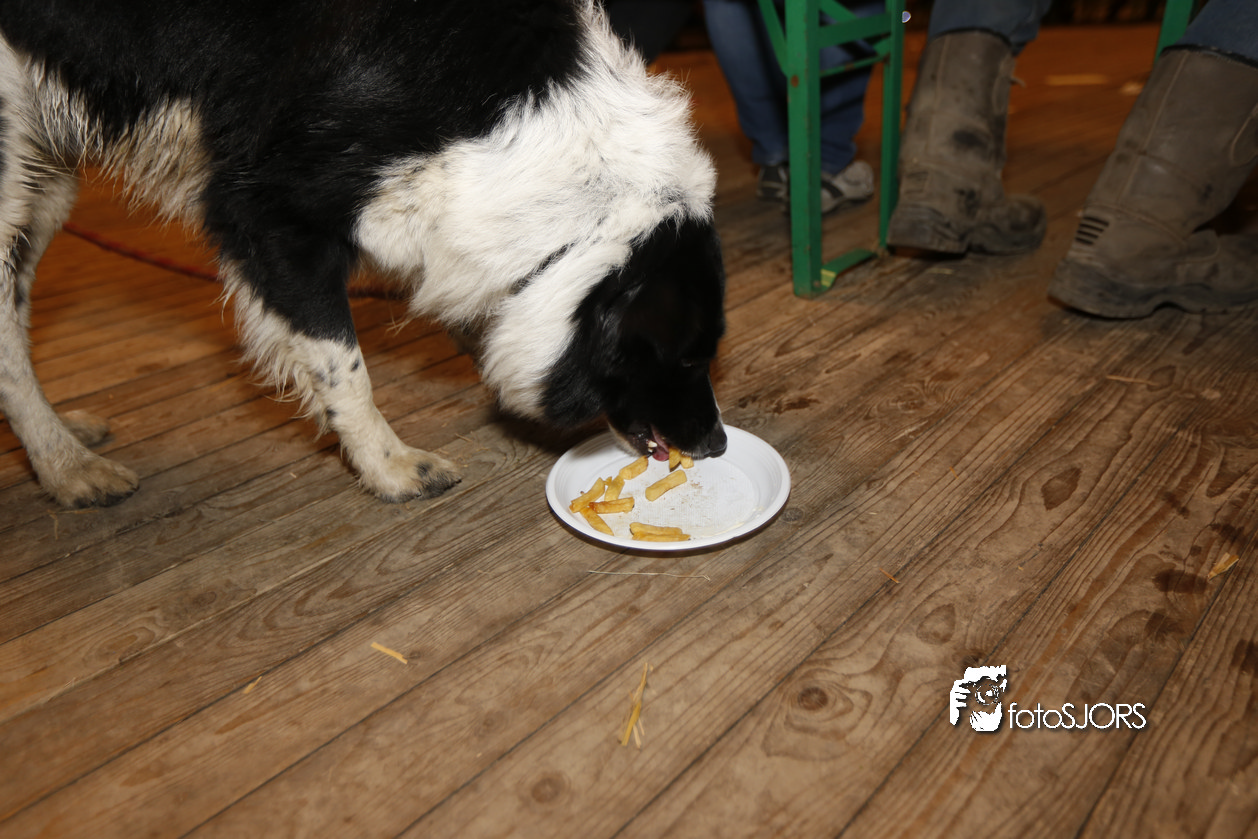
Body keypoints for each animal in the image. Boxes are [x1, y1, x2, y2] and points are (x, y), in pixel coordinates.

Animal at [0, 0, 728, 508]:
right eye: (690, 355)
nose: (717, 444)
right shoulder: (269, 216)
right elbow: (343, 367)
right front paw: (389, 465)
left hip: (47, 181)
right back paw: (67, 467)